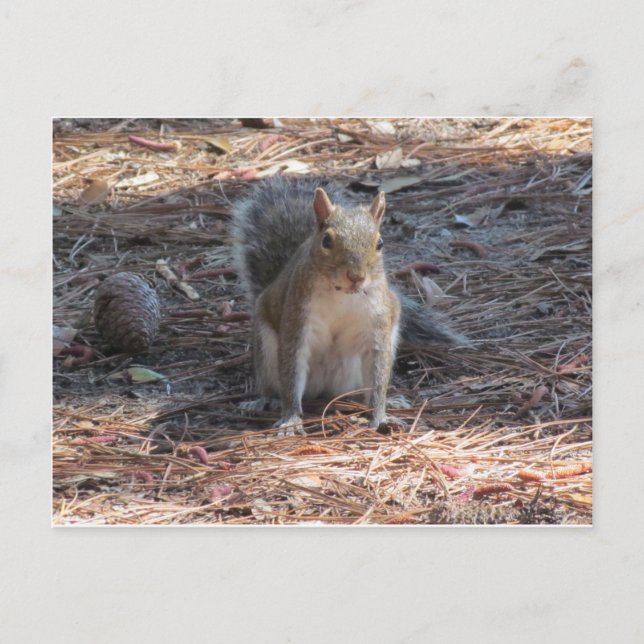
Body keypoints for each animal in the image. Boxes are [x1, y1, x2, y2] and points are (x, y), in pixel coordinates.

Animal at [231, 176, 466, 434]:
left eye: (380, 243)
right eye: (327, 241)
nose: (356, 276)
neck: (343, 295)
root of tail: (323, 389)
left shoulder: (377, 324)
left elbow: (377, 375)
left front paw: (381, 416)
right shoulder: (298, 317)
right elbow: (292, 370)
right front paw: (291, 419)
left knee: (361, 391)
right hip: (265, 351)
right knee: (271, 384)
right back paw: (262, 401)